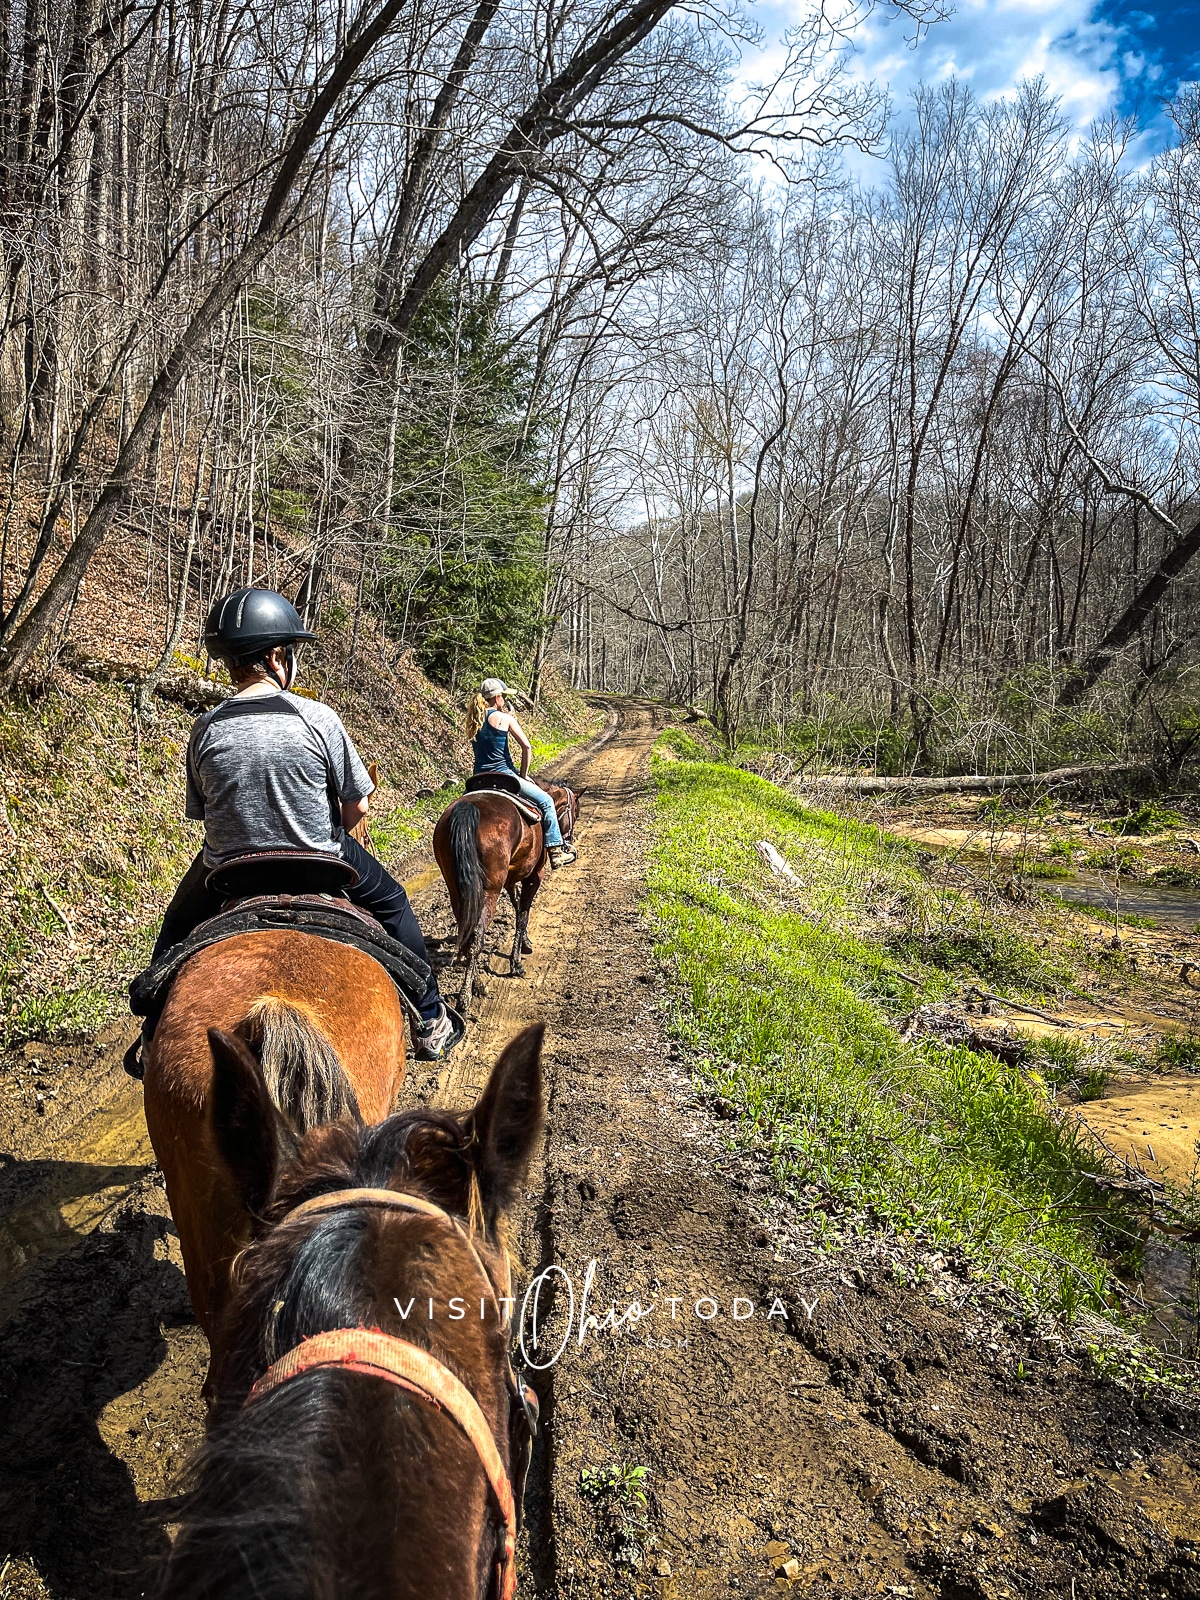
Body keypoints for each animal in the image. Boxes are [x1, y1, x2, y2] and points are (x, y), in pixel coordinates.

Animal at [435, 777, 579, 1011]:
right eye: (575, 811)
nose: (569, 839)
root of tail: (468, 809)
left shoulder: (511, 879)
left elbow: (517, 904)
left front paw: (525, 943)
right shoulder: (534, 876)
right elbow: (523, 914)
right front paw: (516, 963)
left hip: (457, 890)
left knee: (466, 933)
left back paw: (476, 985)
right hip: (489, 891)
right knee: (476, 936)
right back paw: (465, 996)